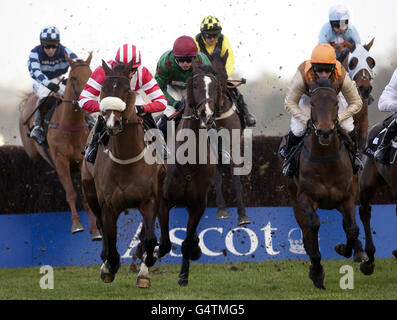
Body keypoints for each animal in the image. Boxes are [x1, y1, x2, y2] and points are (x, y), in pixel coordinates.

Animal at [18, 52, 100, 239]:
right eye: (74, 78)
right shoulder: (61, 160)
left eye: (91, 74)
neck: (70, 127)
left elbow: (85, 198)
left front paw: (95, 230)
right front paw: (76, 225)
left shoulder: (80, 161)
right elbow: (70, 193)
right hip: (34, 154)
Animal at [81, 60, 164, 288]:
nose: (112, 124)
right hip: (89, 192)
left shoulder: (150, 201)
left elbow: (149, 239)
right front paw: (109, 266)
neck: (127, 161)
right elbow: (110, 240)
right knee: (101, 228)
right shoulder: (108, 205)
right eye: (103, 89)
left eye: (127, 90)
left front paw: (146, 268)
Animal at [155, 61, 218, 286]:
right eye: (196, 85)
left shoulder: (198, 205)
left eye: (215, 86)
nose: (207, 114)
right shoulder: (163, 201)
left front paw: (184, 274)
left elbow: (187, 241)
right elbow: (164, 244)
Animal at [284, 79, 366, 288]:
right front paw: (317, 272)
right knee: (306, 231)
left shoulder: (347, 197)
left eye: (336, 103)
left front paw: (345, 249)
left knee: (348, 225)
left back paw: (360, 252)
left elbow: (352, 228)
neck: (326, 161)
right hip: (294, 199)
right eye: (312, 103)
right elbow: (312, 226)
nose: (325, 132)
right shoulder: (305, 198)